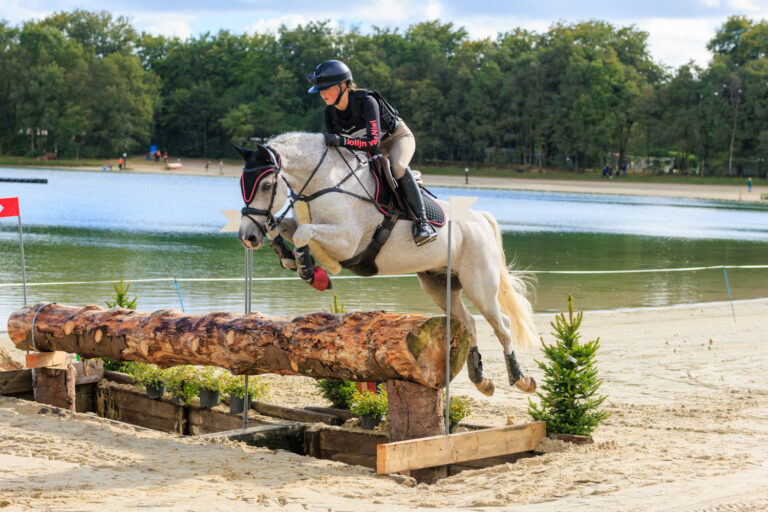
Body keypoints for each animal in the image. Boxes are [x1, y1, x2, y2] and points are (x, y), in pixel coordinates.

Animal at [231, 133, 536, 396]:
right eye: (242, 185)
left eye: (266, 186)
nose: (247, 237)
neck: (327, 182)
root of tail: (481, 219)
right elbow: (284, 227)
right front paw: (290, 257)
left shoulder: (347, 241)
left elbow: (303, 233)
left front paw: (311, 270)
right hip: (440, 286)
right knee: (470, 323)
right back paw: (482, 380)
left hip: (479, 285)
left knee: (502, 325)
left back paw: (521, 379)